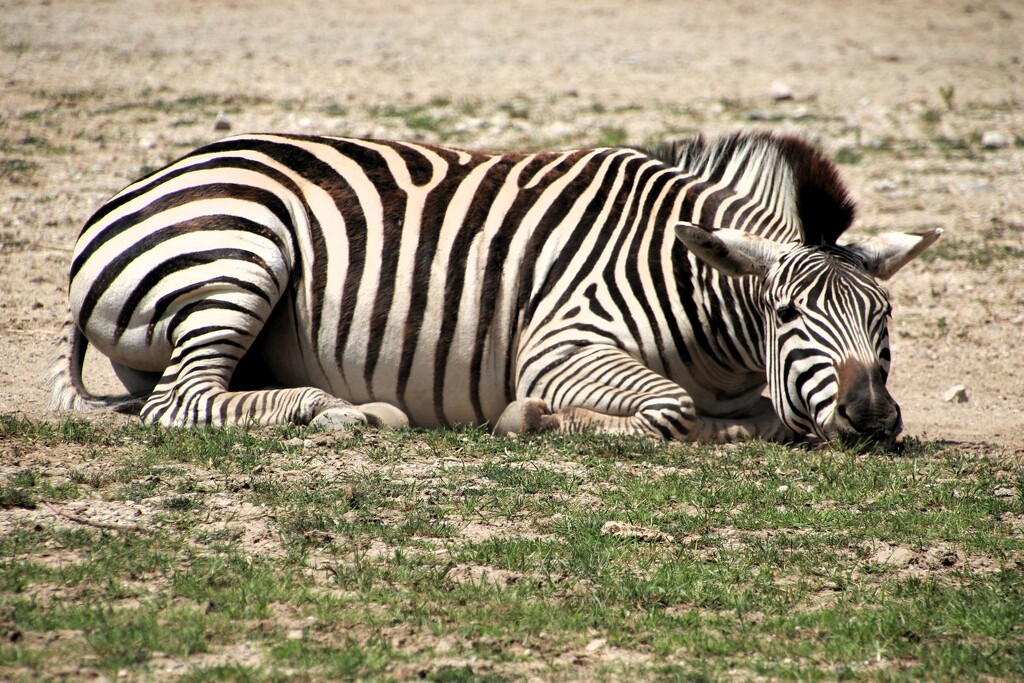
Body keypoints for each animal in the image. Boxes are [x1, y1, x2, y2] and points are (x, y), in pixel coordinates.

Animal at [49, 132, 942, 446]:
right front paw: (538, 418)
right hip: (240, 252)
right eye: (788, 312)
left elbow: (760, 412)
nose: (874, 420)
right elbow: (668, 405)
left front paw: (738, 426)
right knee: (181, 401)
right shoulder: (560, 344)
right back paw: (332, 410)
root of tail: (141, 185)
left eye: (886, 317)